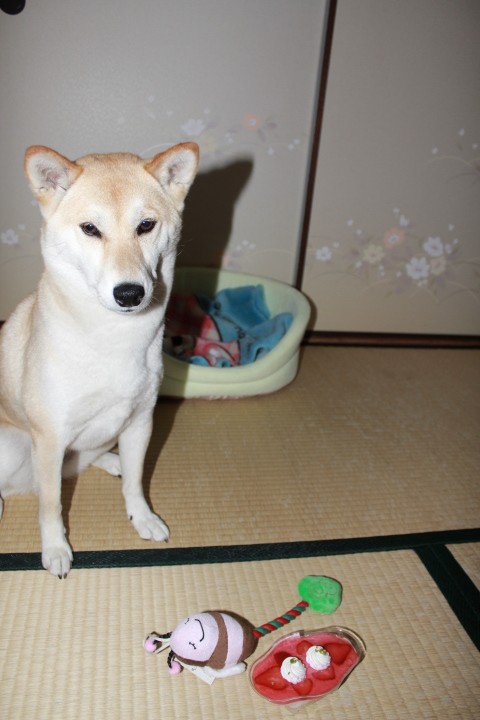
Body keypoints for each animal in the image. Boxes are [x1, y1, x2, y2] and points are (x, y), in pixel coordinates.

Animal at [0, 142, 199, 577]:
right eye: (90, 229)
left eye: (146, 225)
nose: (129, 293)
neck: (113, 339)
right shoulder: (50, 436)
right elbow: (51, 505)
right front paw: (56, 549)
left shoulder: (141, 421)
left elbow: (136, 483)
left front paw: (143, 518)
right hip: (12, 444)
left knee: (85, 461)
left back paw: (111, 461)